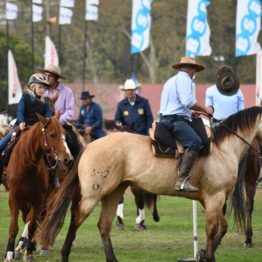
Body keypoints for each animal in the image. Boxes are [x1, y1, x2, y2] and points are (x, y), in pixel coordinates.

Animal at [3, 113, 72, 262]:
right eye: (52, 135)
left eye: (64, 134)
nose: (67, 159)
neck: (27, 165)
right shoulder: (14, 197)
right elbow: (14, 226)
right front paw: (9, 253)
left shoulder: (38, 199)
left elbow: (32, 225)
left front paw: (28, 252)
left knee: (39, 219)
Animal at [40, 106, 262, 262]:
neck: (223, 149)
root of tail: (90, 145)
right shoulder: (214, 198)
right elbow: (213, 229)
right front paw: (206, 255)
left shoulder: (212, 201)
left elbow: (221, 229)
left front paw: (204, 254)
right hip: (92, 195)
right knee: (76, 218)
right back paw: (65, 254)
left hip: (113, 193)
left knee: (103, 225)